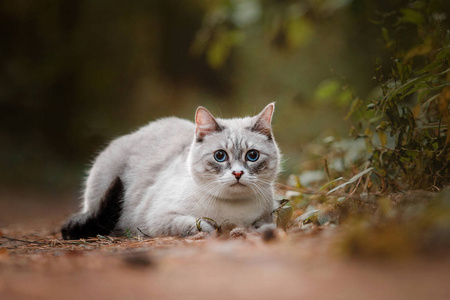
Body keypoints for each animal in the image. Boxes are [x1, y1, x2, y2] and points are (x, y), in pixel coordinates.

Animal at [61, 103, 280, 239]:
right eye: (220, 156)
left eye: (252, 156)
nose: (237, 174)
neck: (233, 212)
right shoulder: (156, 218)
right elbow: (197, 225)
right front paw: (213, 231)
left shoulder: (267, 218)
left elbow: (264, 227)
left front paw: (240, 232)